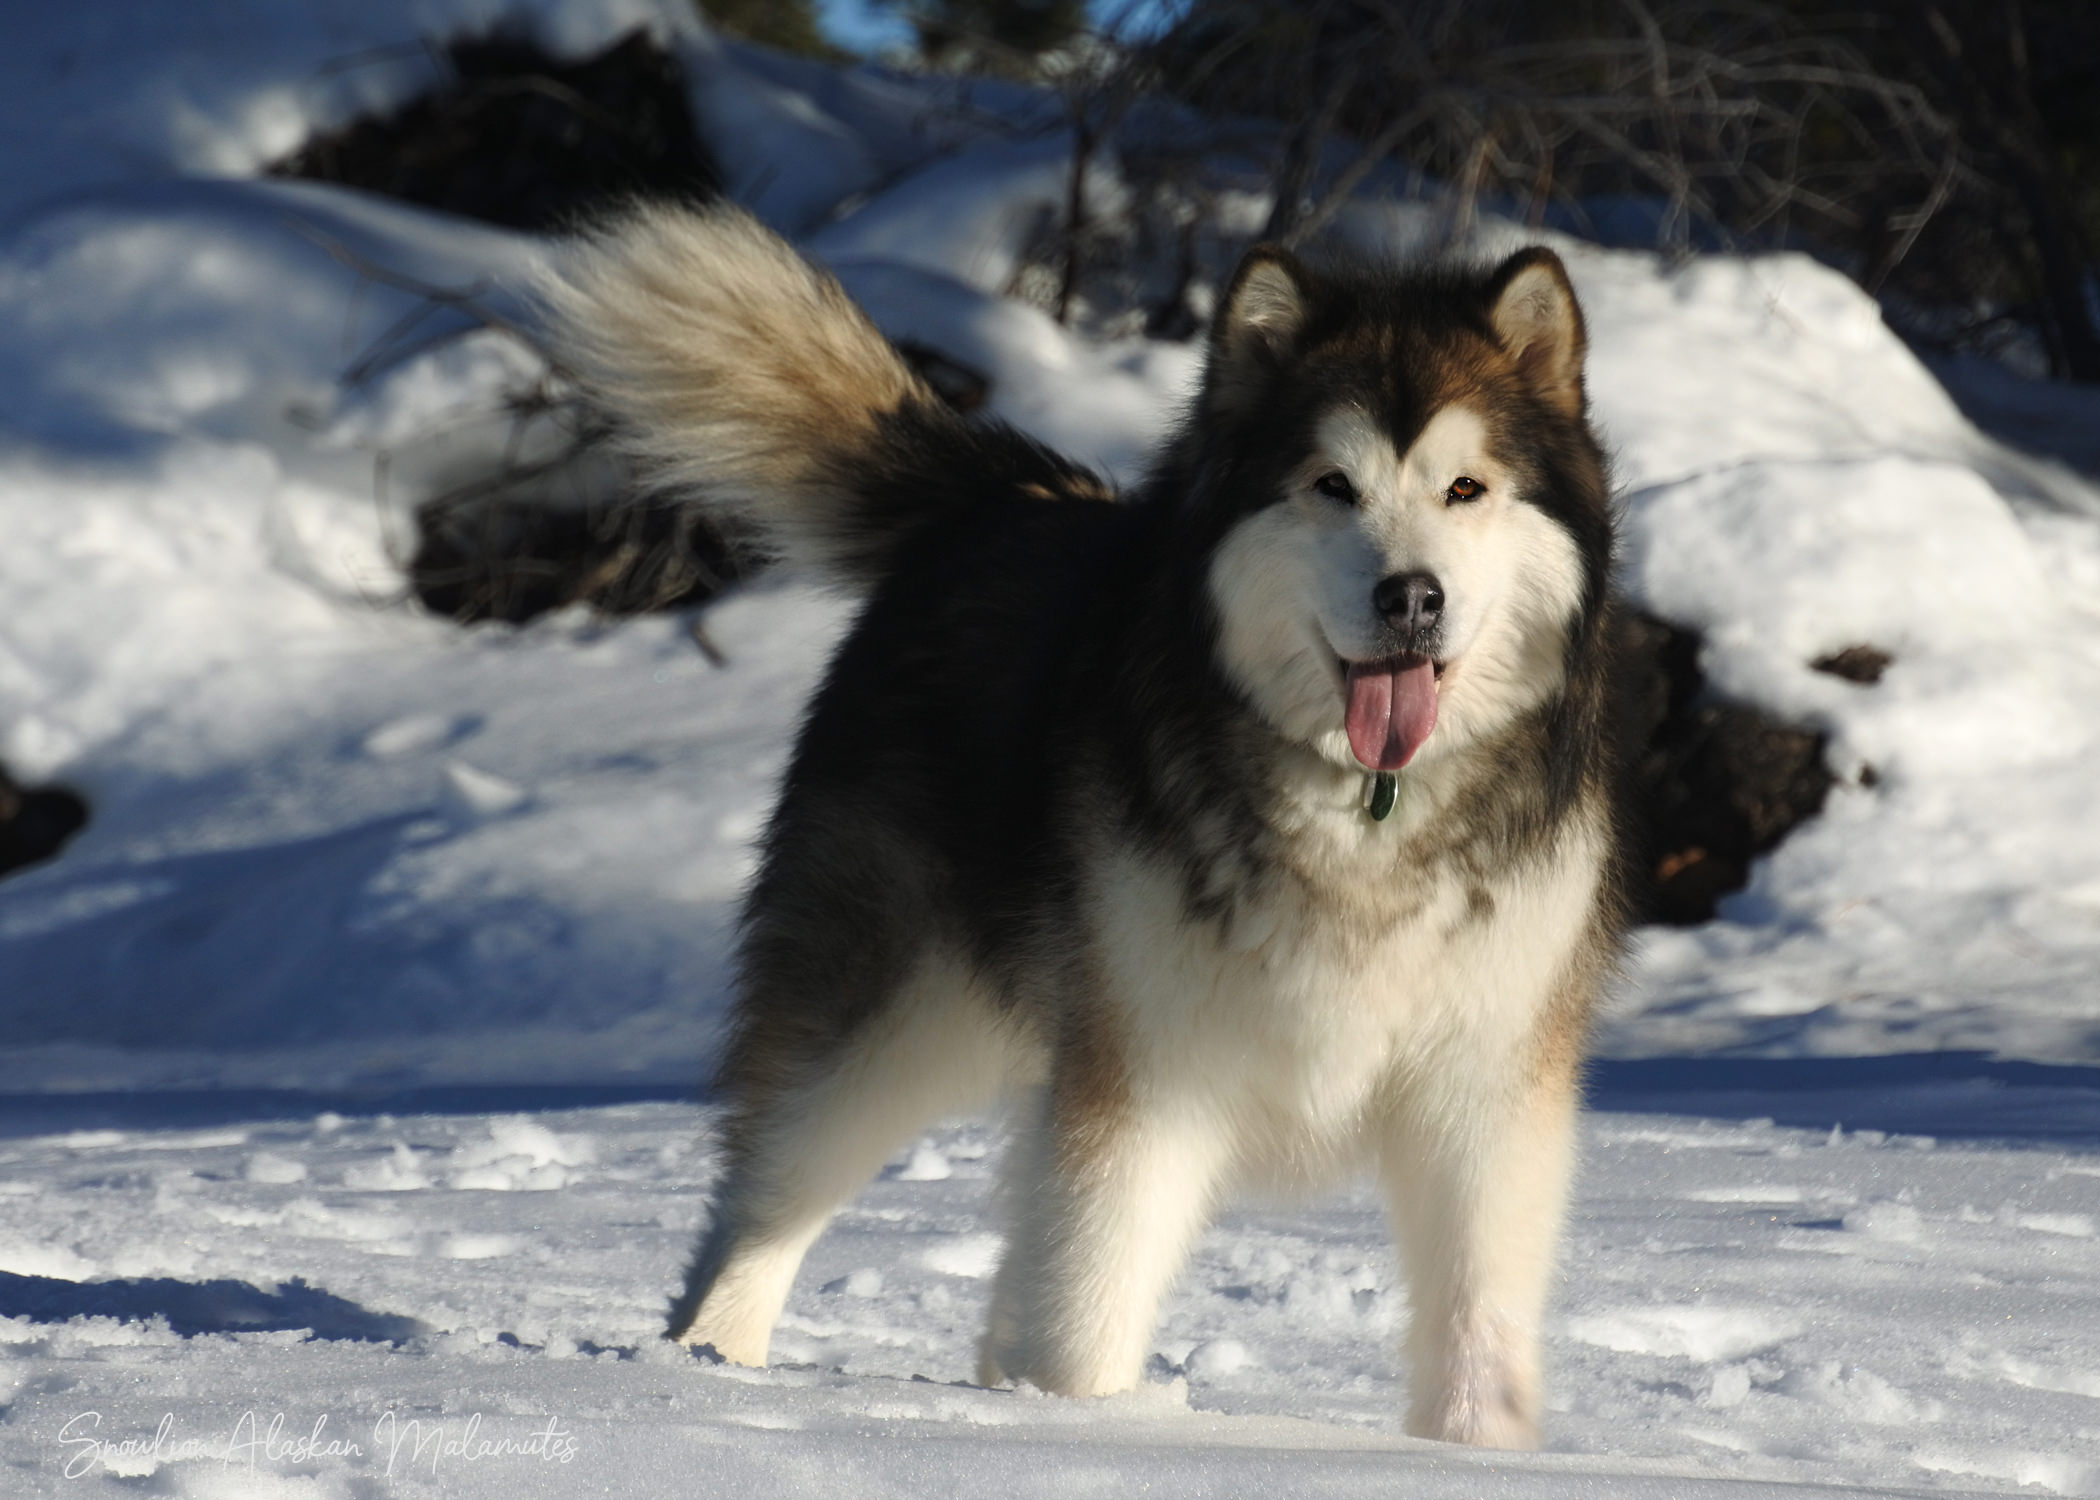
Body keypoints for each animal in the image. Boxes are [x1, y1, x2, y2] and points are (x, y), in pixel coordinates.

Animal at [541, 204, 1621, 1445]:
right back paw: (701, 1378)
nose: (1410, 597)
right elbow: (1090, 1301)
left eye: (1465, 490)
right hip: (901, 1008)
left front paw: (1475, 1455)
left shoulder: (1486, 1098)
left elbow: (1476, 1329)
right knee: (768, 1193)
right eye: (1332, 485)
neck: (1362, 808)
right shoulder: (1146, 1077)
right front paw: (1086, 1433)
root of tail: (1009, 501)